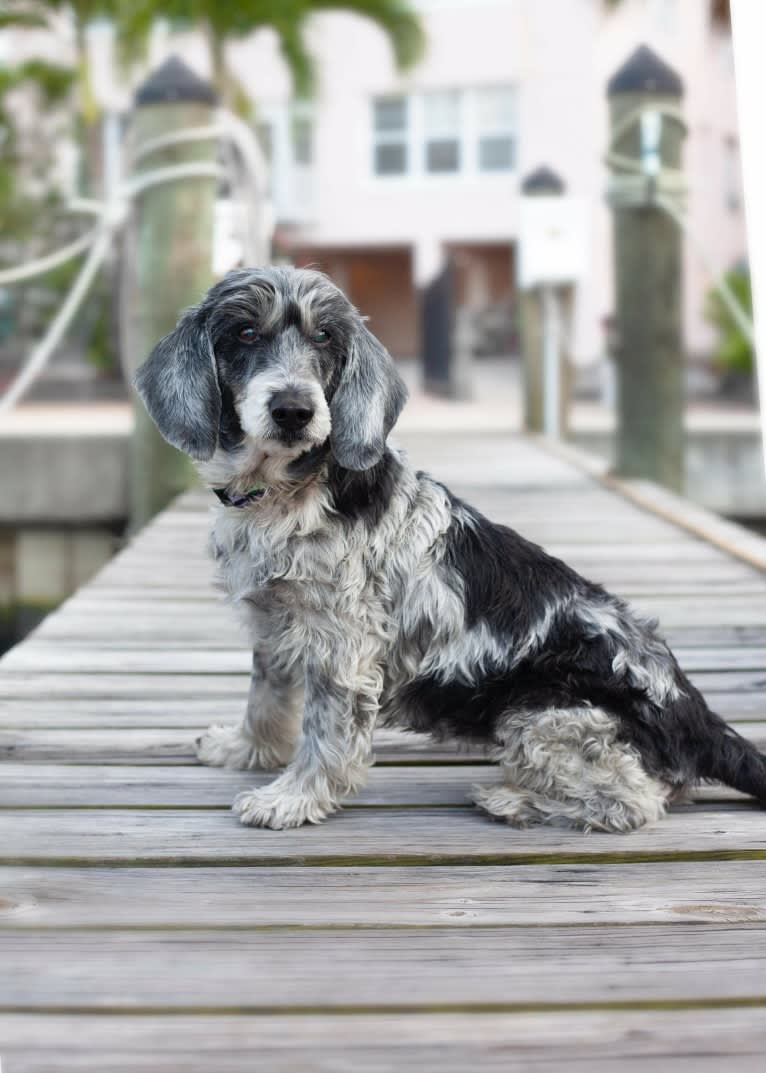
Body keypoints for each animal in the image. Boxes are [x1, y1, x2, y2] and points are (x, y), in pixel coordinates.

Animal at [135, 266, 763, 828]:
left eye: (324, 337)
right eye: (245, 333)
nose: (295, 410)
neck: (288, 492)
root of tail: (698, 714)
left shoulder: (342, 649)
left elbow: (323, 733)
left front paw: (291, 800)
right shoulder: (274, 627)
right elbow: (264, 698)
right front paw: (244, 750)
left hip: (540, 715)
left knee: (635, 801)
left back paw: (513, 801)